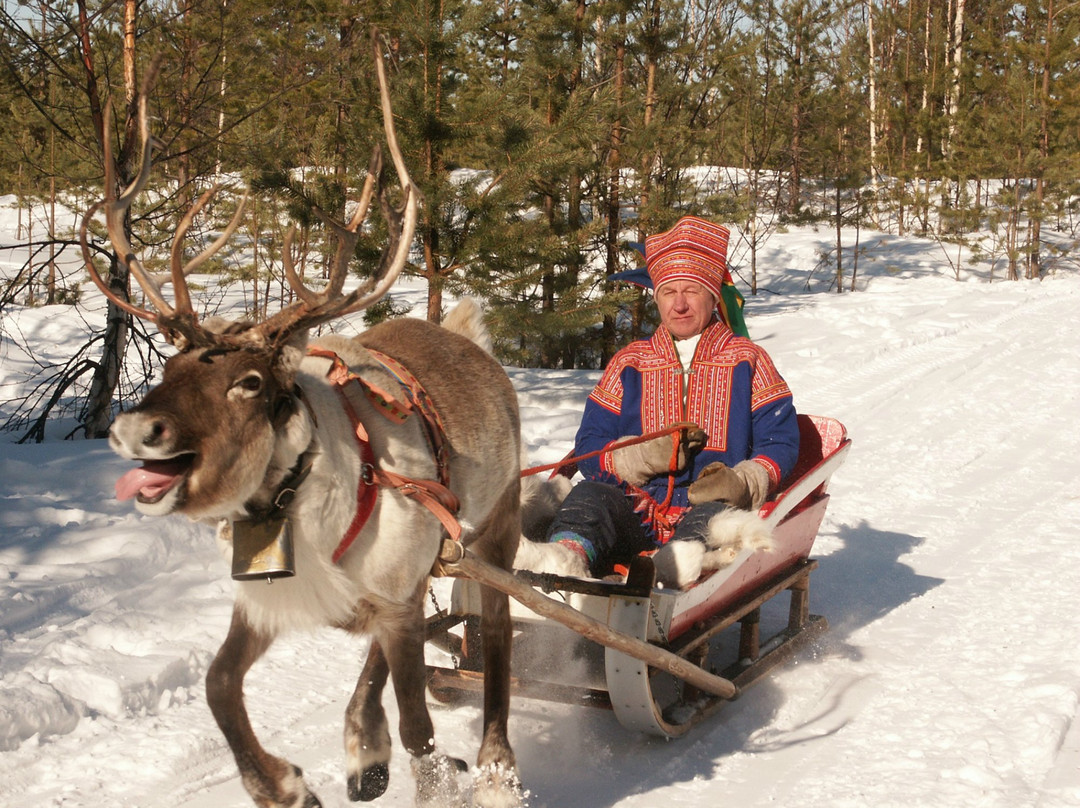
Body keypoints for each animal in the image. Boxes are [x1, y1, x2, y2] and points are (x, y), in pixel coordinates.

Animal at [80, 37, 522, 808]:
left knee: (494, 634)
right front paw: (285, 784)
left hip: (495, 531)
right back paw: (362, 747)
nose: (136, 432)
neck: (299, 504)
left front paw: (438, 773)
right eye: (170, 364)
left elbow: (422, 731)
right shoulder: (271, 600)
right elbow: (218, 685)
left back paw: (494, 760)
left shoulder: (399, 599)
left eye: (250, 382)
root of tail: (474, 344)